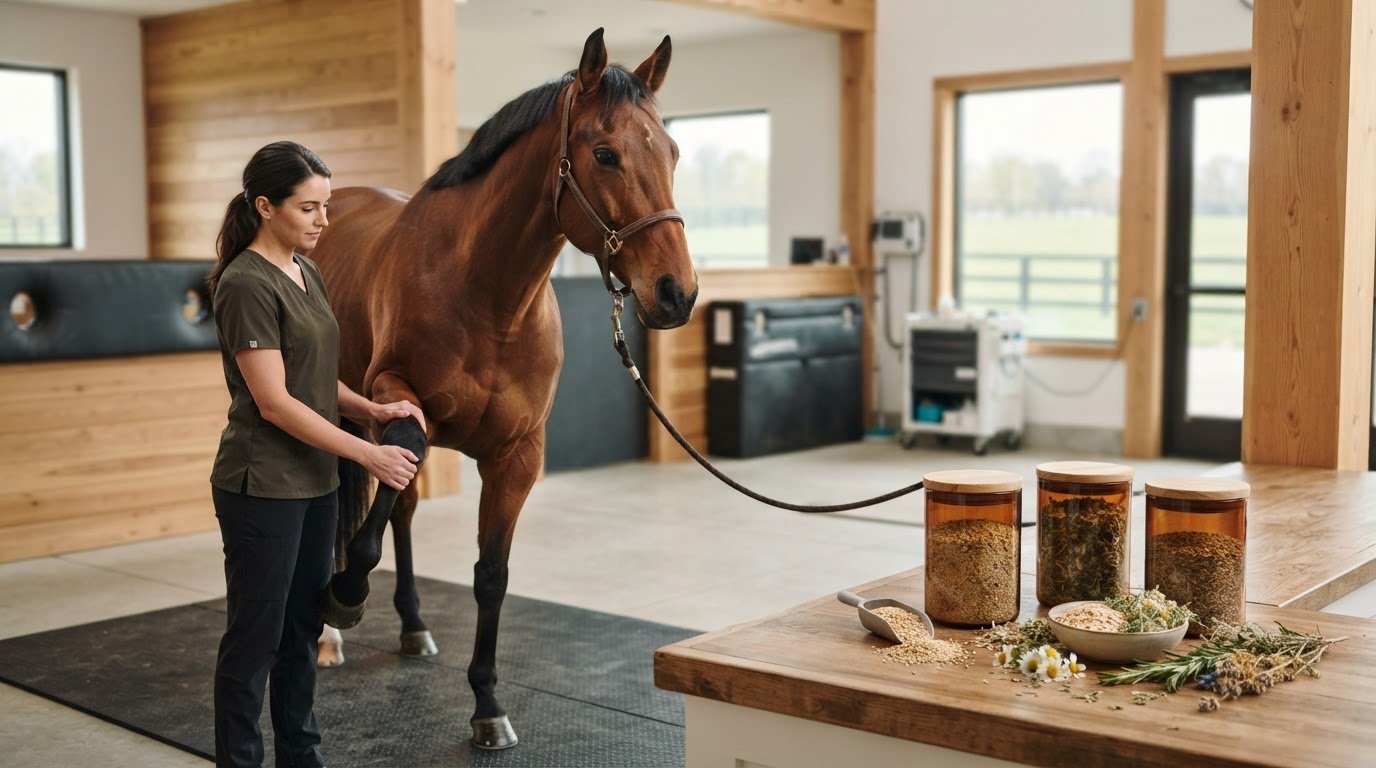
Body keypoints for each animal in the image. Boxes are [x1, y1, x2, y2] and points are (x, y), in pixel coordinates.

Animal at [305, 28, 697, 750]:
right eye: (605, 153)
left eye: (673, 152)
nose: (676, 293)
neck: (488, 297)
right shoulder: (390, 395)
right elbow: (394, 470)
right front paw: (346, 592)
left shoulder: (518, 456)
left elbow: (491, 577)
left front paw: (487, 706)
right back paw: (328, 634)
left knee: (402, 507)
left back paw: (413, 627)